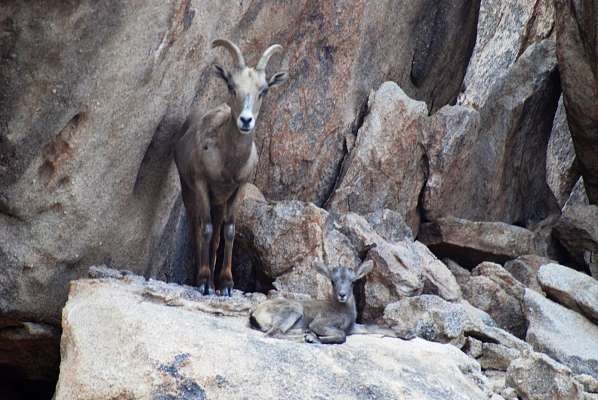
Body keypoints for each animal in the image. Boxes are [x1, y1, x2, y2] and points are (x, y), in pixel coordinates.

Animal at [174, 39, 288, 296]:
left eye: (263, 90)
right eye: (231, 85)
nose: (246, 120)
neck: (228, 162)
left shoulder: (237, 190)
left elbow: (229, 232)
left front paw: (225, 284)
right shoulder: (202, 185)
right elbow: (204, 229)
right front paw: (204, 282)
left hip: (219, 202)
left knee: (216, 235)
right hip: (189, 191)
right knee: (197, 229)